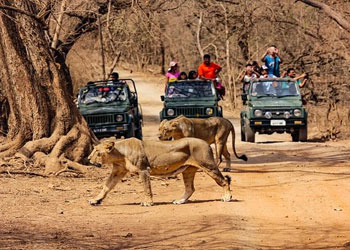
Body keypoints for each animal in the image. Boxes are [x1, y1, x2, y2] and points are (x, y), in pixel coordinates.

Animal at [87, 138, 231, 206]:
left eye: (97, 151)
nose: (88, 158)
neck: (119, 154)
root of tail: (206, 143)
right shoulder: (118, 171)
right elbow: (106, 186)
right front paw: (95, 200)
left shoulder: (143, 169)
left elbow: (146, 188)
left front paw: (147, 202)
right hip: (188, 170)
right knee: (190, 188)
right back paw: (180, 201)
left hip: (208, 166)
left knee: (224, 180)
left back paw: (227, 197)